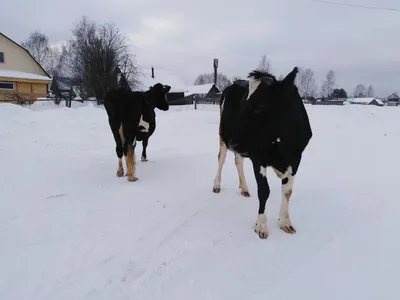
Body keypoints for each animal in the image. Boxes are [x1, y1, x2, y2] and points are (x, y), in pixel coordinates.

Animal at [212, 67, 312, 239]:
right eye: (242, 103)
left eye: (260, 107)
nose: (232, 141)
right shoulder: (258, 157)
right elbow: (264, 190)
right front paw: (261, 226)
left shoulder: (296, 159)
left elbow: (287, 191)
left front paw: (285, 222)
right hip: (222, 135)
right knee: (221, 158)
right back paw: (217, 185)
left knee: (238, 161)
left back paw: (244, 188)